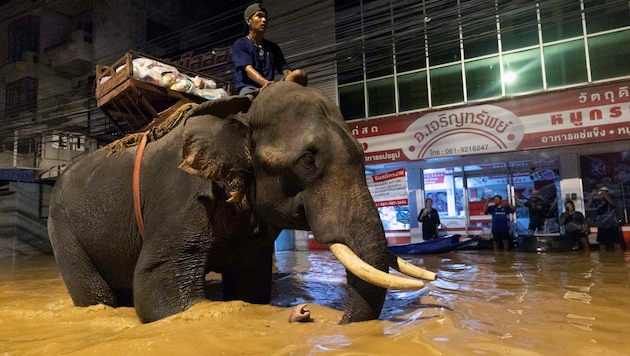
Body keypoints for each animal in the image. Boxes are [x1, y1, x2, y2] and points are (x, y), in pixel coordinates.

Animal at [47, 81, 436, 326]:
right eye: (308, 161)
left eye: (363, 154)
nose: (311, 316)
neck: (242, 111)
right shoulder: (183, 196)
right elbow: (160, 294)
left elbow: (250, 285)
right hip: (63, 231)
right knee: (96, 295)